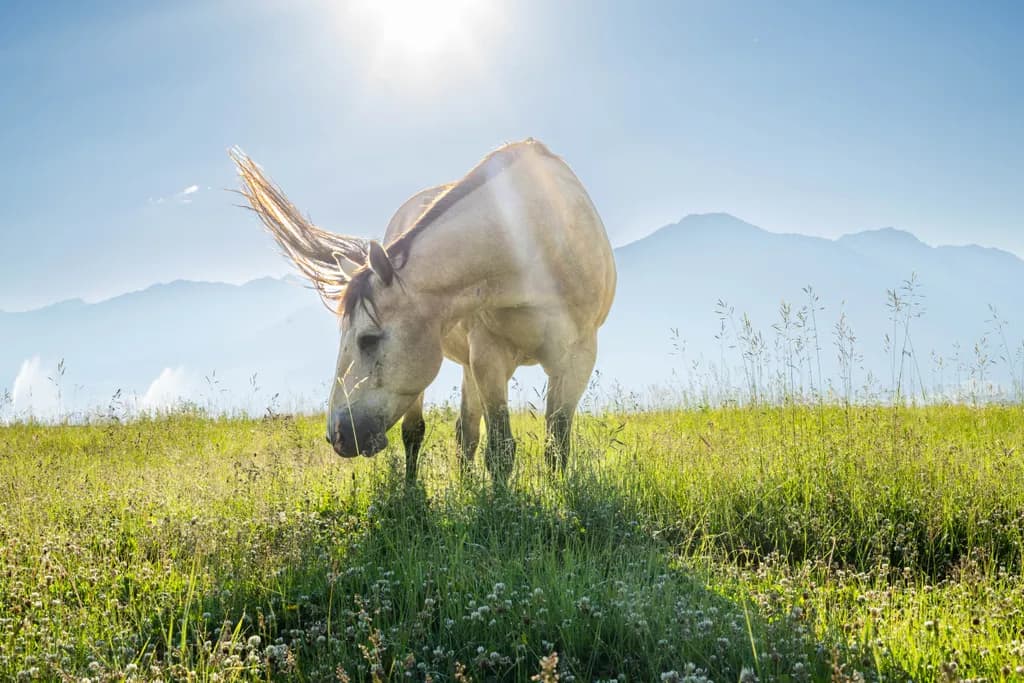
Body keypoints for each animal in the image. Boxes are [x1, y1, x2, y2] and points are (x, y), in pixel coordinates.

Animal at [232, 139, 616, 484]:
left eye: (368, 339)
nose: (338, 434)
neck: (536, 239)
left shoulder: (577, 360)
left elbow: (556, 446)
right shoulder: (489, 357)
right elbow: (501, 449)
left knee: (466, 434)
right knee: (420, 433)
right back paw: (414, 491)